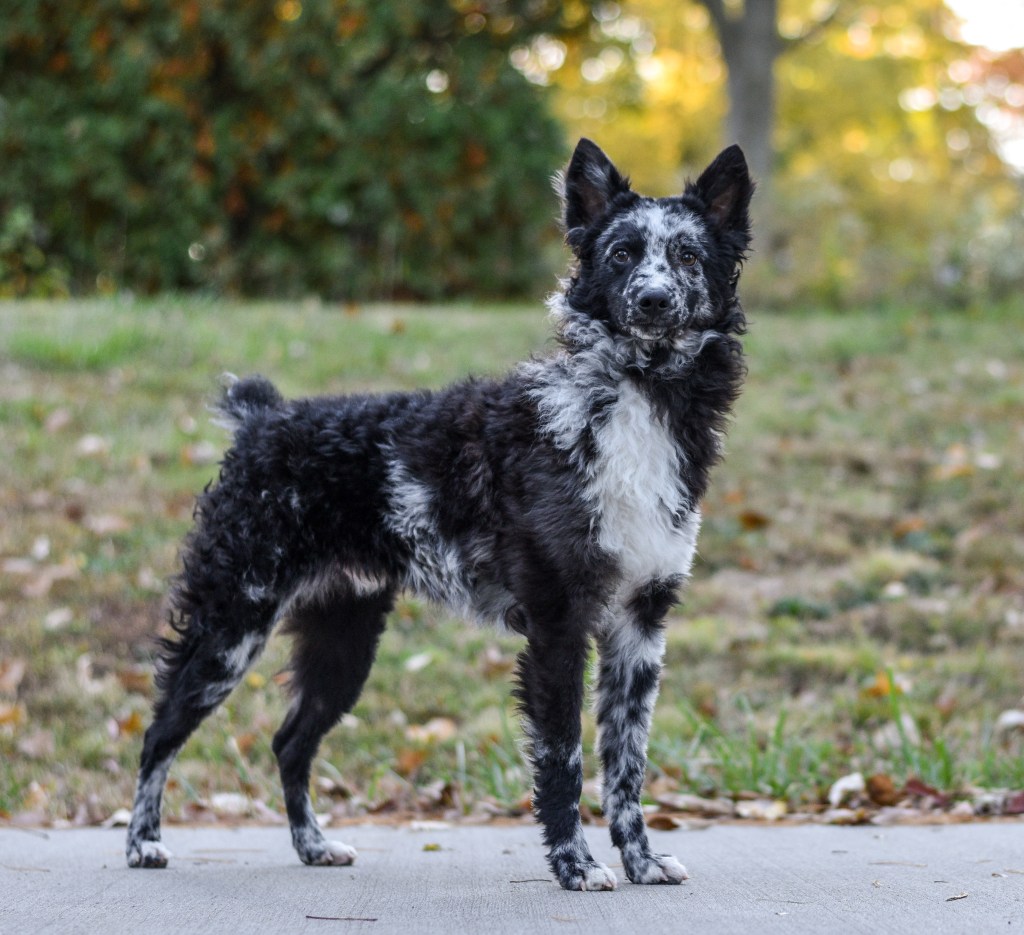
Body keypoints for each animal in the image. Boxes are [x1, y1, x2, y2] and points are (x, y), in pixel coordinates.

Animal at [126, 138, 753, 890]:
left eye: (687, 254)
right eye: (623, 253)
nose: (654, 300)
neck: (635, 396)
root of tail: (266, 420)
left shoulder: (639, 627)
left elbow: (627, 763)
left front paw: (640, 858)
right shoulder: (559, 625)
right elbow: (565, 759)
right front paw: (575, 864)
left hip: (343, 641)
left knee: (288, 742)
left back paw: (313, 844)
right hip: (231, 625)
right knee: (160, 731)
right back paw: (142, 841)